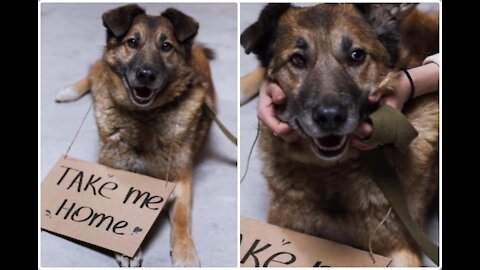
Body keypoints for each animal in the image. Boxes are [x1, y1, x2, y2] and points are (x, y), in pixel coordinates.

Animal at [54, 3, 216, 266]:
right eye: (132, 42)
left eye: (166, 46)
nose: (146, 75)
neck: (144, 118)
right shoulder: (111, 172)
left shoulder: (181, 180)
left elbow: (182, 219)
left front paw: (185, 253)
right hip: (100, 73)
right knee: (95, 72)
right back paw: (68, 91)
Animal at [240, 3, 438, 266]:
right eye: (297, 59)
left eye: (357, 56)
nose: (330, 117)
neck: (333, 171)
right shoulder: (282, 225)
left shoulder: (402, 246)